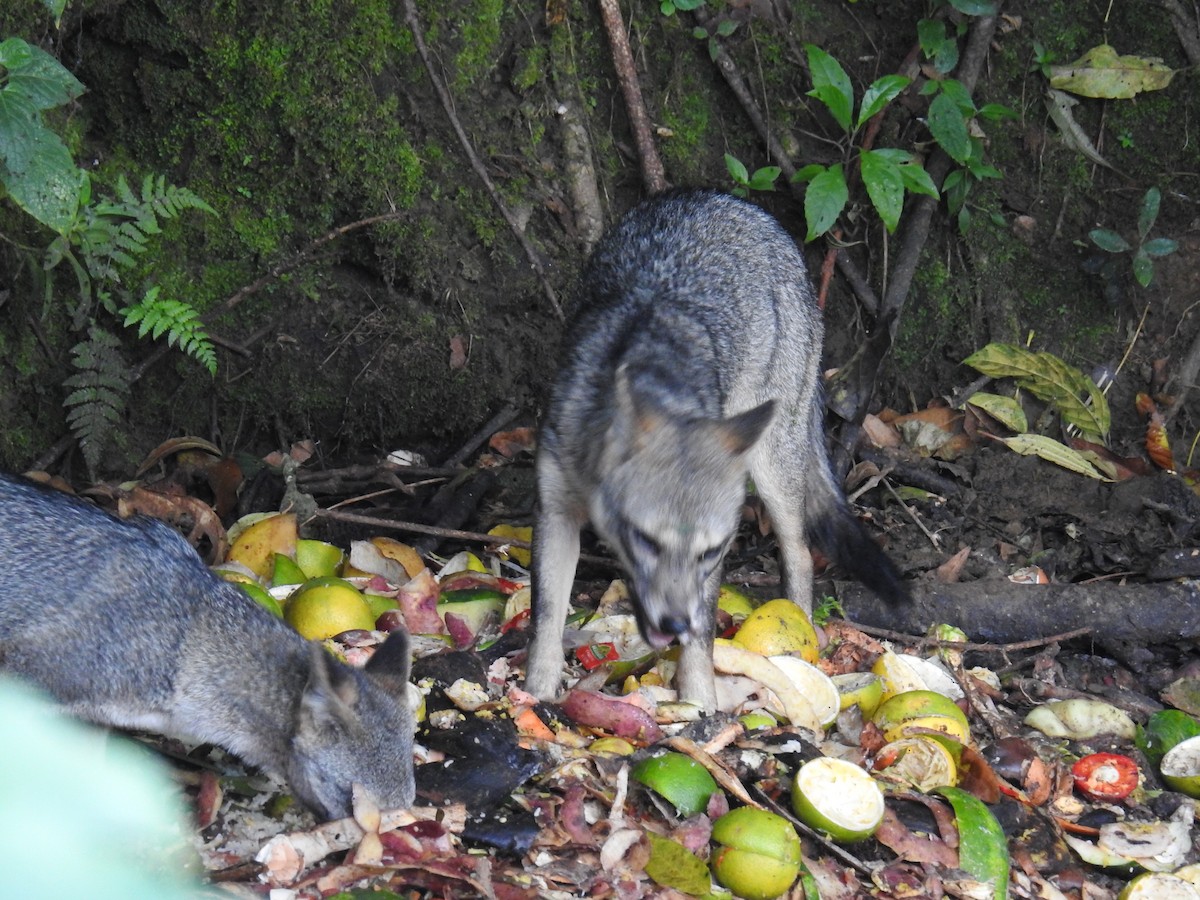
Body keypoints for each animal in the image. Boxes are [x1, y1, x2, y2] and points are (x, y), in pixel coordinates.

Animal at [524, 189, 908, 712]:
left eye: (709, 552)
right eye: (645, 541)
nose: (673, 624)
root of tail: (733, 202)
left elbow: (705, 631)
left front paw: (699, 701)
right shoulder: (555, 510)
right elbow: (545, 615)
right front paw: (533, 693)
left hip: (772, 469)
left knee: (800, 554)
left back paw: (802, 632)